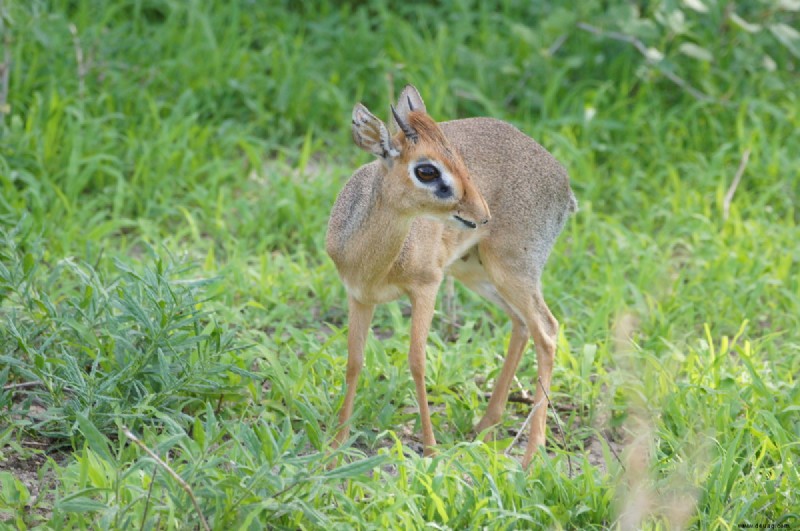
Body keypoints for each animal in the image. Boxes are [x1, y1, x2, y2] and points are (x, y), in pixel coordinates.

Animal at [324, 85, 576, 468]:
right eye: (427, 170)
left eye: (457, 157)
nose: (482, 213)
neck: (373, 260)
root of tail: (563, 182)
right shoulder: (358, 296)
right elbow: (354, 362)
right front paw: (336, 448)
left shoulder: (427, 287)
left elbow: (417, 362)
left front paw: (430, 449)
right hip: (478, 272)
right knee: (521, 324)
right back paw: (484, 426)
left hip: (513, 271)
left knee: (546, 330)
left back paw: (530, 456)